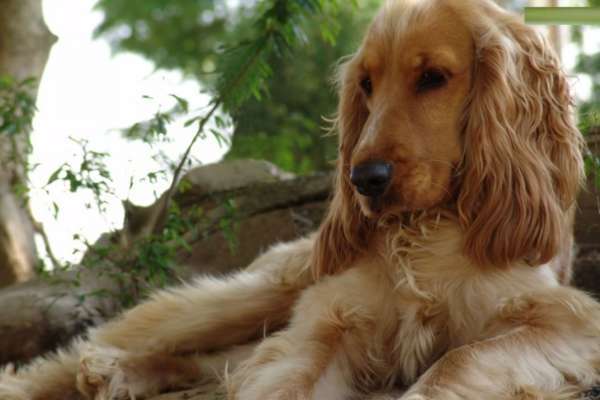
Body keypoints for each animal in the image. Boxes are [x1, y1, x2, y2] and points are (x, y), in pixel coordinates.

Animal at [2, 0, 596, 398]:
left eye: (433, 77)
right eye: (366, 84)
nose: (364, 179)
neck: (425, 231)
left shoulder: (563, 319)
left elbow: (458, 361)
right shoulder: (330, 319)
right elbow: (289, 372)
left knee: (220, 359)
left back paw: (119, 372)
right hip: (259, 290)